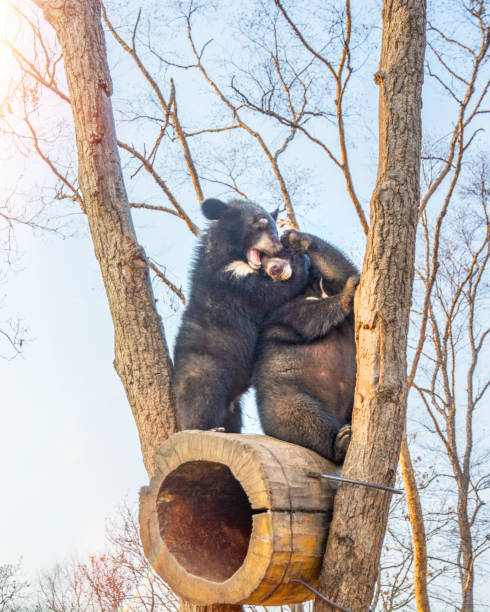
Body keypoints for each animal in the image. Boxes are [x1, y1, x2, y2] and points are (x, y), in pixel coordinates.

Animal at [174, 198, 308, 432]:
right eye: (259, 225)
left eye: (274, 227)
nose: (278, 246)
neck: (234, 256)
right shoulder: (230, 280)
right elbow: (269, 294)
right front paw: (300, 261)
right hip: (205, 367)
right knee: (201, 399)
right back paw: (206, 427)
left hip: (233, 406)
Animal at [255, 230, 358, 464]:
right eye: (262, 268)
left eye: (277, 251)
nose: (274, 269)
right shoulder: (275, 311)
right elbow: (304, 316)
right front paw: (346, 295)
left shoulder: (319, 281)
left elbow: (340, 270)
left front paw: (296, 238)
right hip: (286, 395)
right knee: (304, 419)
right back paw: (341, 442)